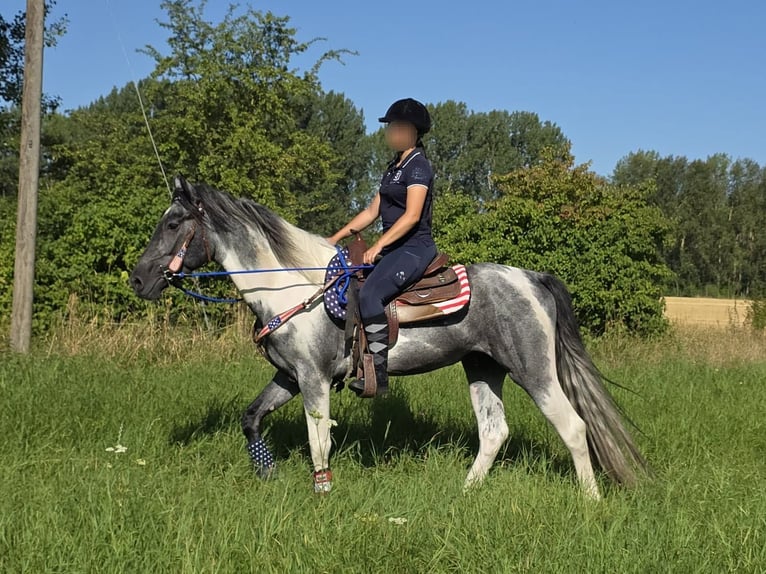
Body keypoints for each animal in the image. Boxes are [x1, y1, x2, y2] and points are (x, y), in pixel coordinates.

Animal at [130, 176, 648, 499]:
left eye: (172, 223)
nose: (137, 280)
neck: (294, 287)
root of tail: (532, 278)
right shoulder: (290, 376)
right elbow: (251, 418)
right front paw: (267, 472)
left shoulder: (314, 380)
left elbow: (318, 441)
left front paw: (322, 493)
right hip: (483, 368)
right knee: (494, 431)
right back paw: (465, 493)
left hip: (534, 371)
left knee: (574, 427)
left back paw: (590, 502)